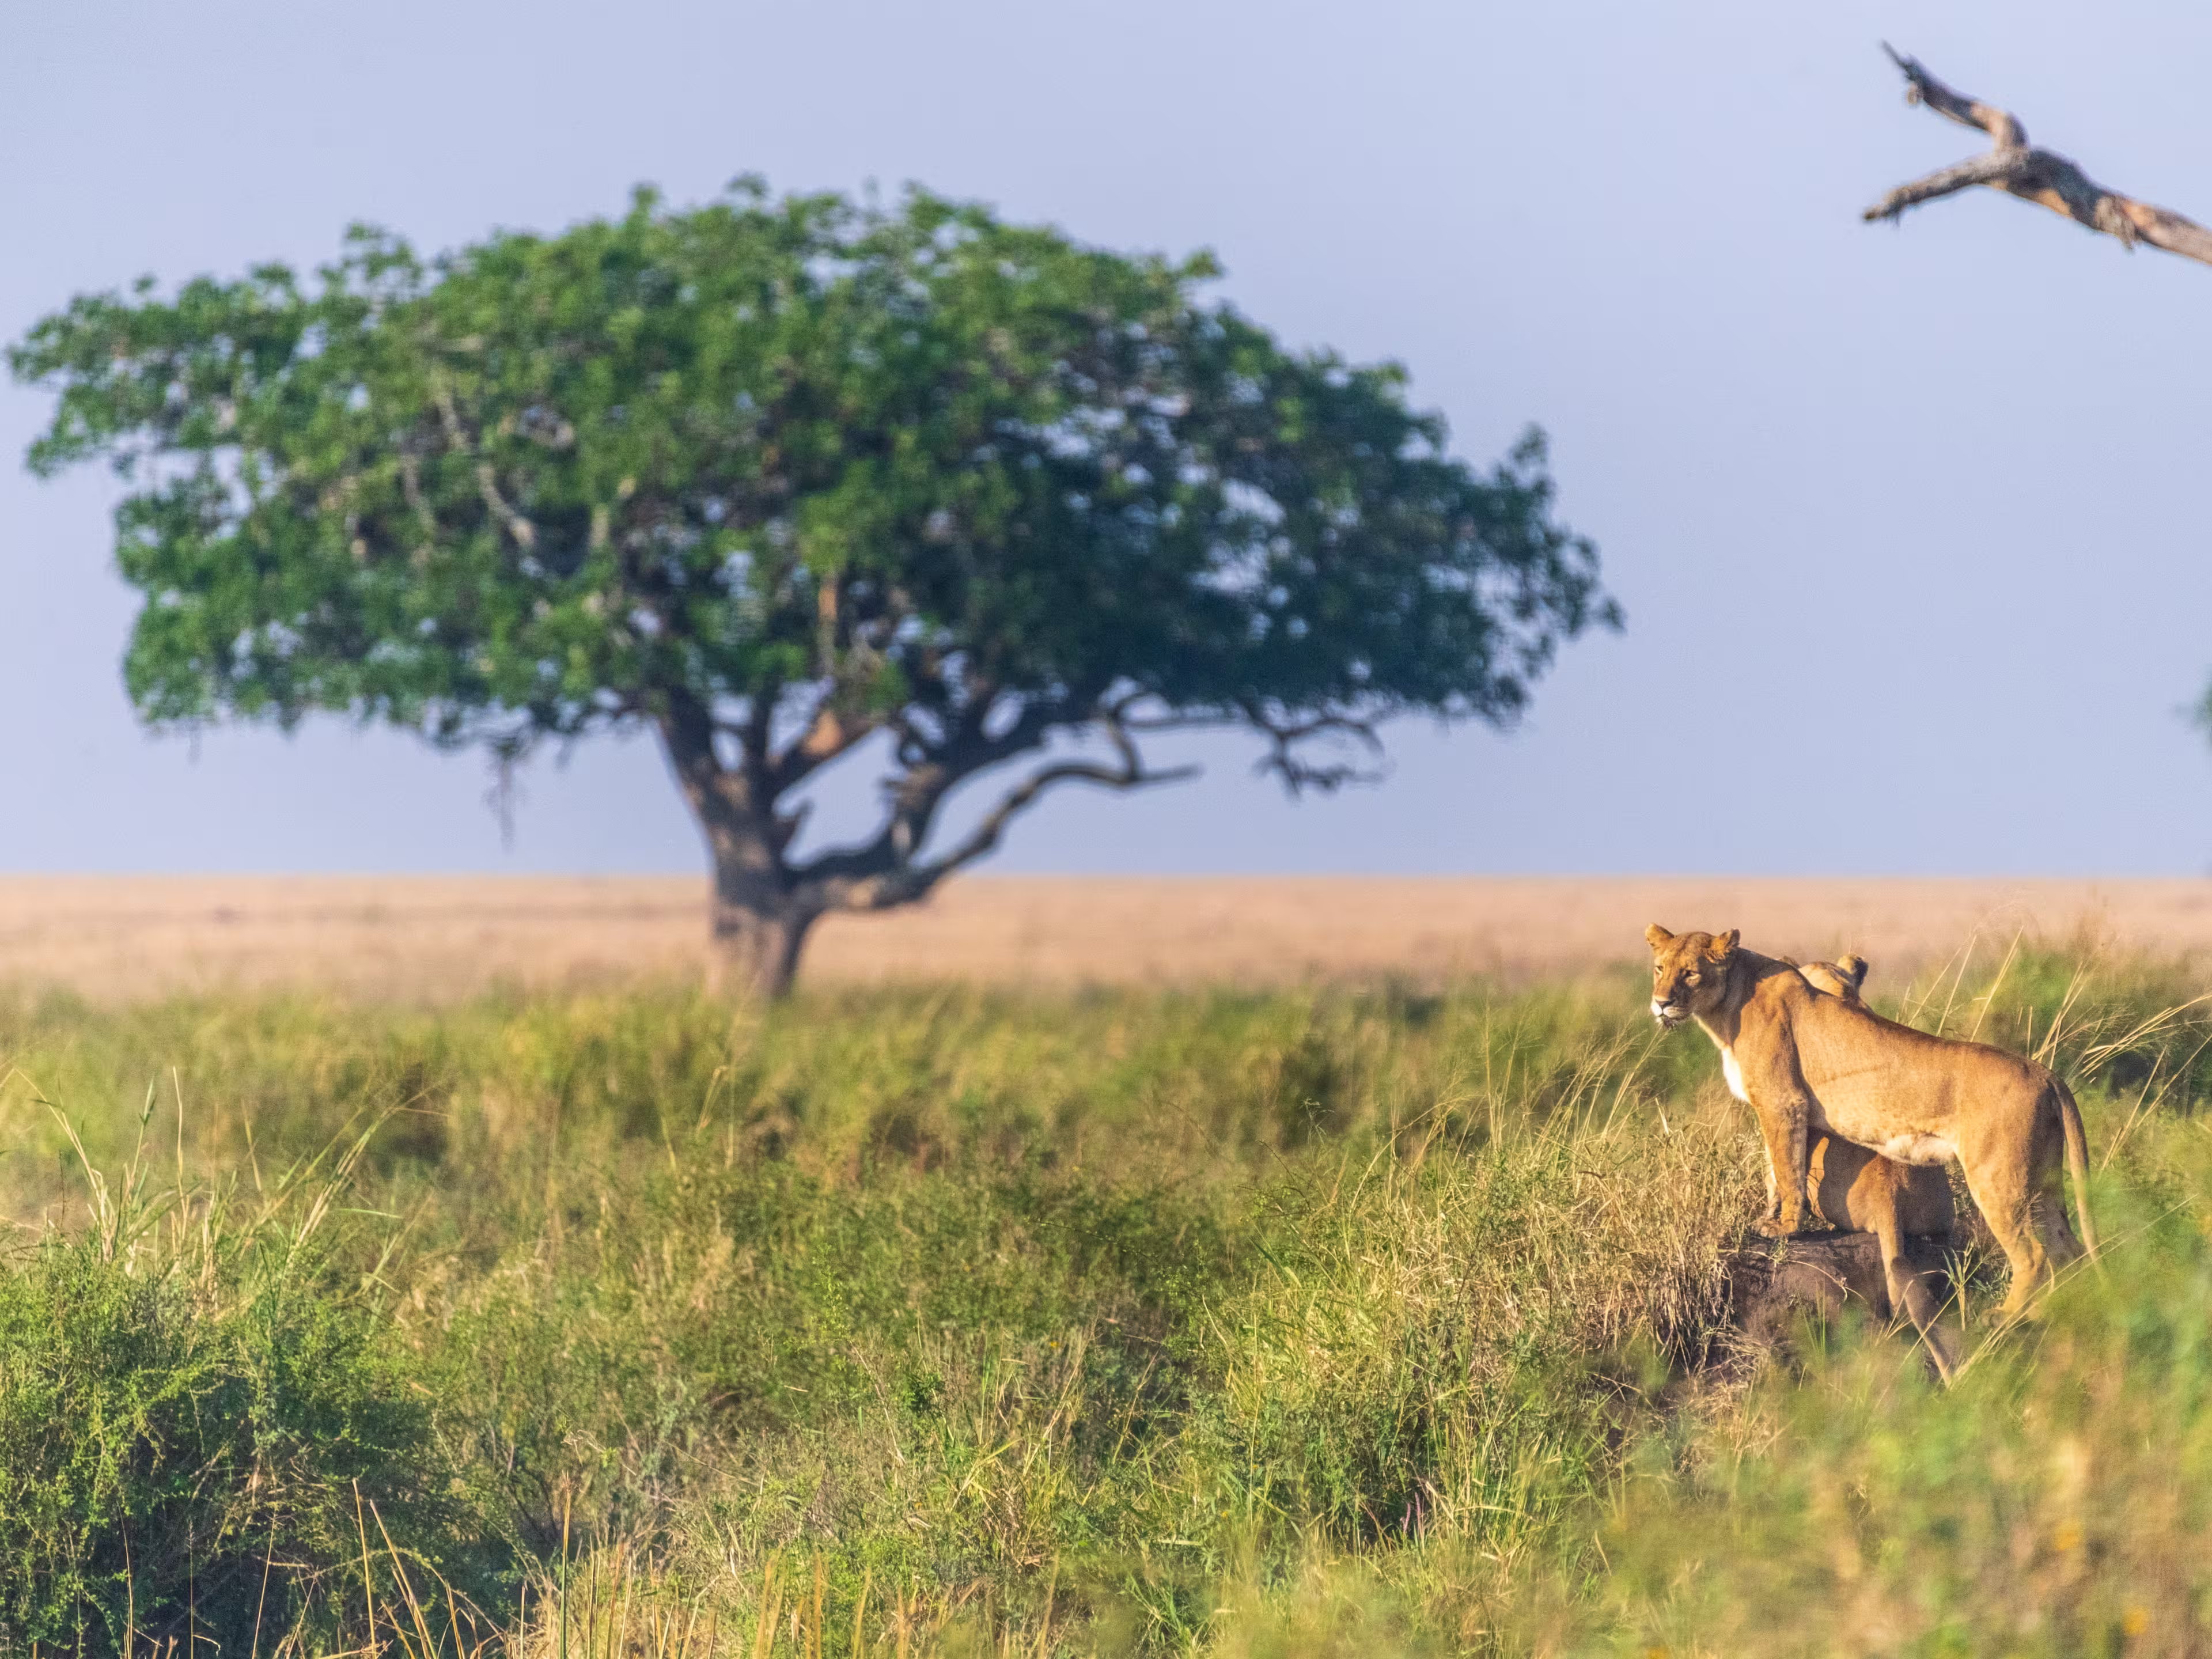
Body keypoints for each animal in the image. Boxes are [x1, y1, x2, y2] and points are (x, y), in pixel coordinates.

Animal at [1646, 924, 2098, 1318]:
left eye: (1690, 972)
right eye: (1659, 968)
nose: (1661, 1003)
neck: (1728, 1002)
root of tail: (2045, 1073)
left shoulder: (1783, 1102)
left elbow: (1787, 1169)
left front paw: (1786, 1227)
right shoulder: (1785, 1109)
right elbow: (1775, 1169)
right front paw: (1771, 1216)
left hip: (1997, 1177)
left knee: (2034, 1255)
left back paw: (2005, 1316)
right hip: (2042, 1180)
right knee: (2067, 1250)